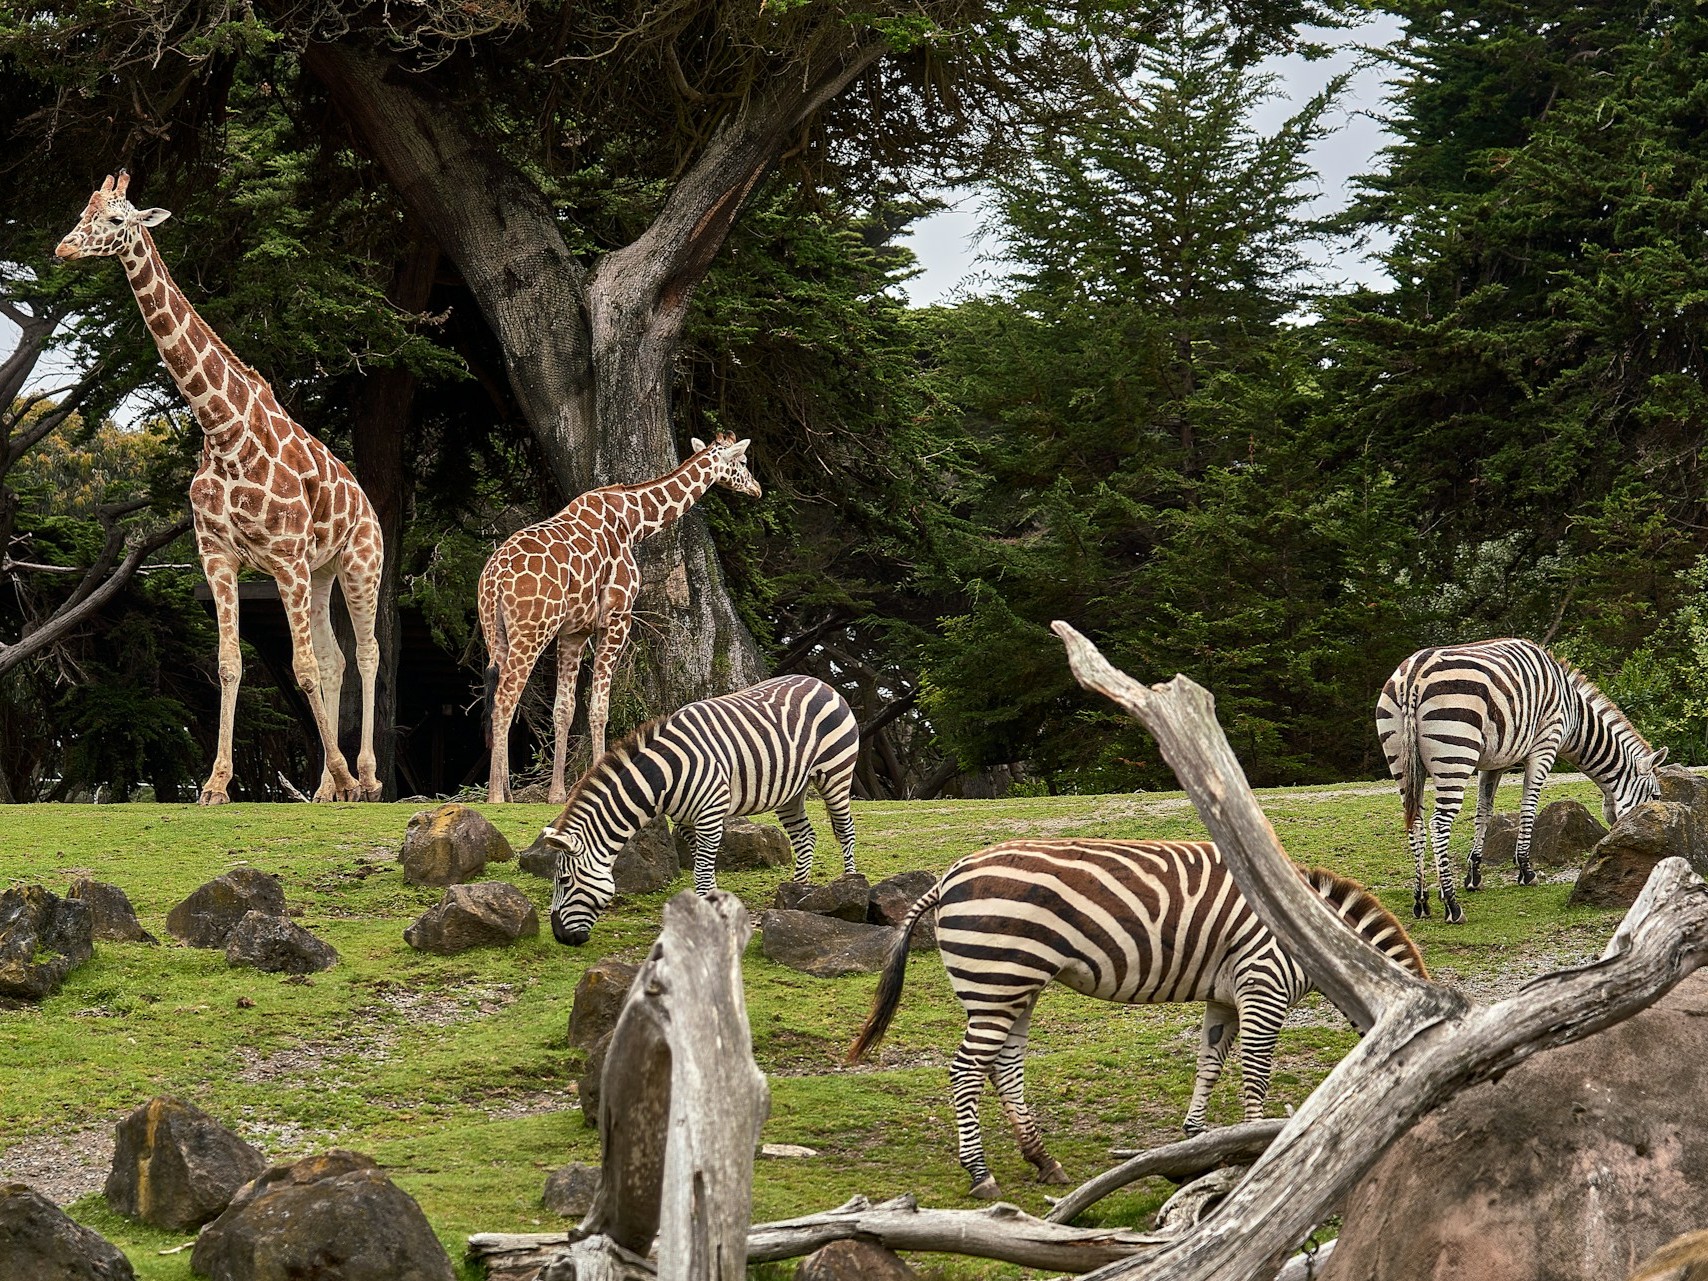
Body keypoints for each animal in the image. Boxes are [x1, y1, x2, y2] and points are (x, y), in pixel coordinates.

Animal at [538, 674, 860, 945]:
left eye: (563, 881)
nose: (560, 937)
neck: (664, 775)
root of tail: (820, 682)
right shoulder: (685, 822)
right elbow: (701, 866)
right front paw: (711, 906)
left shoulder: (710, 814)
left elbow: (702, 872)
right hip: (790, 789)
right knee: (805, 836)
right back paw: (796, 891)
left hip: (836, 772)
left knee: (845, 830)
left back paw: (848, 885)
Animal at [846, 838, 1426, 1198]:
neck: (1314, 937)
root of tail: (948, 876)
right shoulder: (1263, 985)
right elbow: (1255, 1074)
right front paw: (1260, 1146)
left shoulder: (1225, 996)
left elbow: (1210, 1062)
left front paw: (1195, 1139)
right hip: (998, 977)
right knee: (966, 1071)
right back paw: (981, 1173)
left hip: (1012, 987)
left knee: (1003, 1068)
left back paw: (1042, 1160)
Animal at [1375, 637, 1665, 924]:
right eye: (1656, 798)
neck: (1573, 714)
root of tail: (1413, 676)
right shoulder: (1545, 747)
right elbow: (1528, 808)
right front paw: (1526, 870)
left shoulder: (1494, 763)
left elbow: (1484, 813)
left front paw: (1474, 874)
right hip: (1455, 754)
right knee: (1438, 825)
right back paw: (1452, 904)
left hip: (1402, 762)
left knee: (1416, 824)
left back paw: (1421, 901)